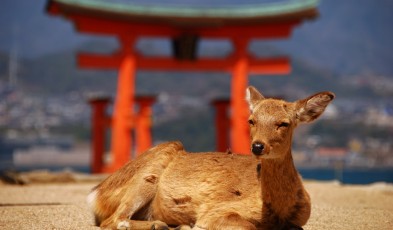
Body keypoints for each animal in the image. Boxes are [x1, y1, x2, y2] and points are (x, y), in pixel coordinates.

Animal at [86, 85, 334, 229]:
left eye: (284, 123)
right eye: (251, 120)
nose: (257, 146)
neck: (278, 210)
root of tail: (96, 194)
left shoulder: (301, 218)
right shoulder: (214, 211)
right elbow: (248, 226)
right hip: (146, 175)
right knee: (113, 220)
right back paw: (166, 225)